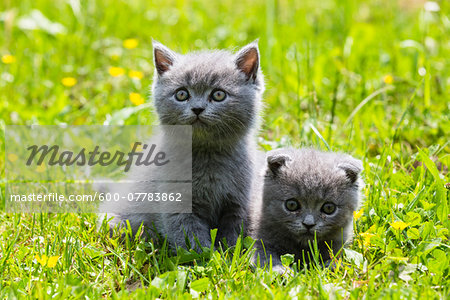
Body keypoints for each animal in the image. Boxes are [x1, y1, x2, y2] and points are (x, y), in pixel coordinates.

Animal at [102, 41, 264, 250]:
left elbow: (233, 233)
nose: (197, 108)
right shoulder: (177, 204)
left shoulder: (238, 203)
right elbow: (191, 237)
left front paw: (228, 252)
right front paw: (207, 255)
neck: (208, 156)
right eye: (181, 94)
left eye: (218, 94)